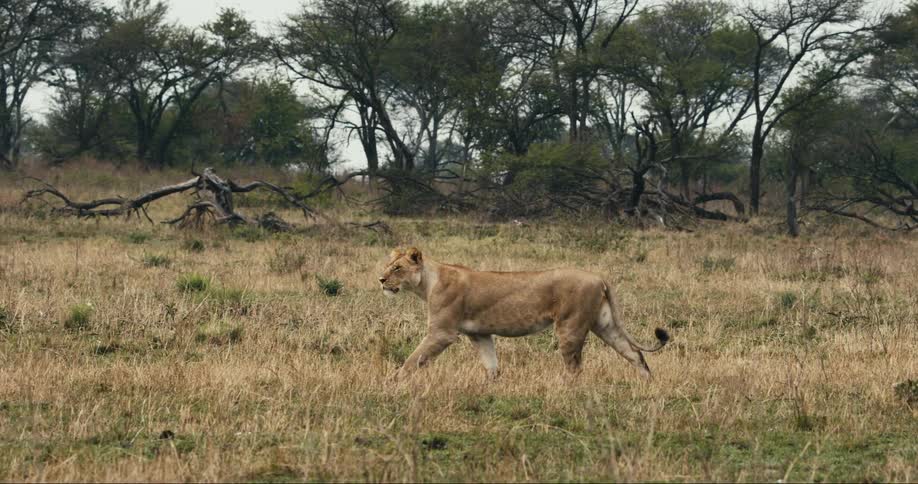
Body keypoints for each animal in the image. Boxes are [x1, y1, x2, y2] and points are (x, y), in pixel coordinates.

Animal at [379, 247, 670, 379]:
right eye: (388, 265)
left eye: (397, 268)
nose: (381, 280)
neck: (427, 282)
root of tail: (599, 277)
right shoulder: (480, 334)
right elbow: (491, 365)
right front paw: (492, 387)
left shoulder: (442, 333)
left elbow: (413, 359)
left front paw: (393, 381)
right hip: (604, 324)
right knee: (634, 353)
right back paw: (648, 383)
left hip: (570, 326)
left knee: (575, 367)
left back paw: (565, 390)